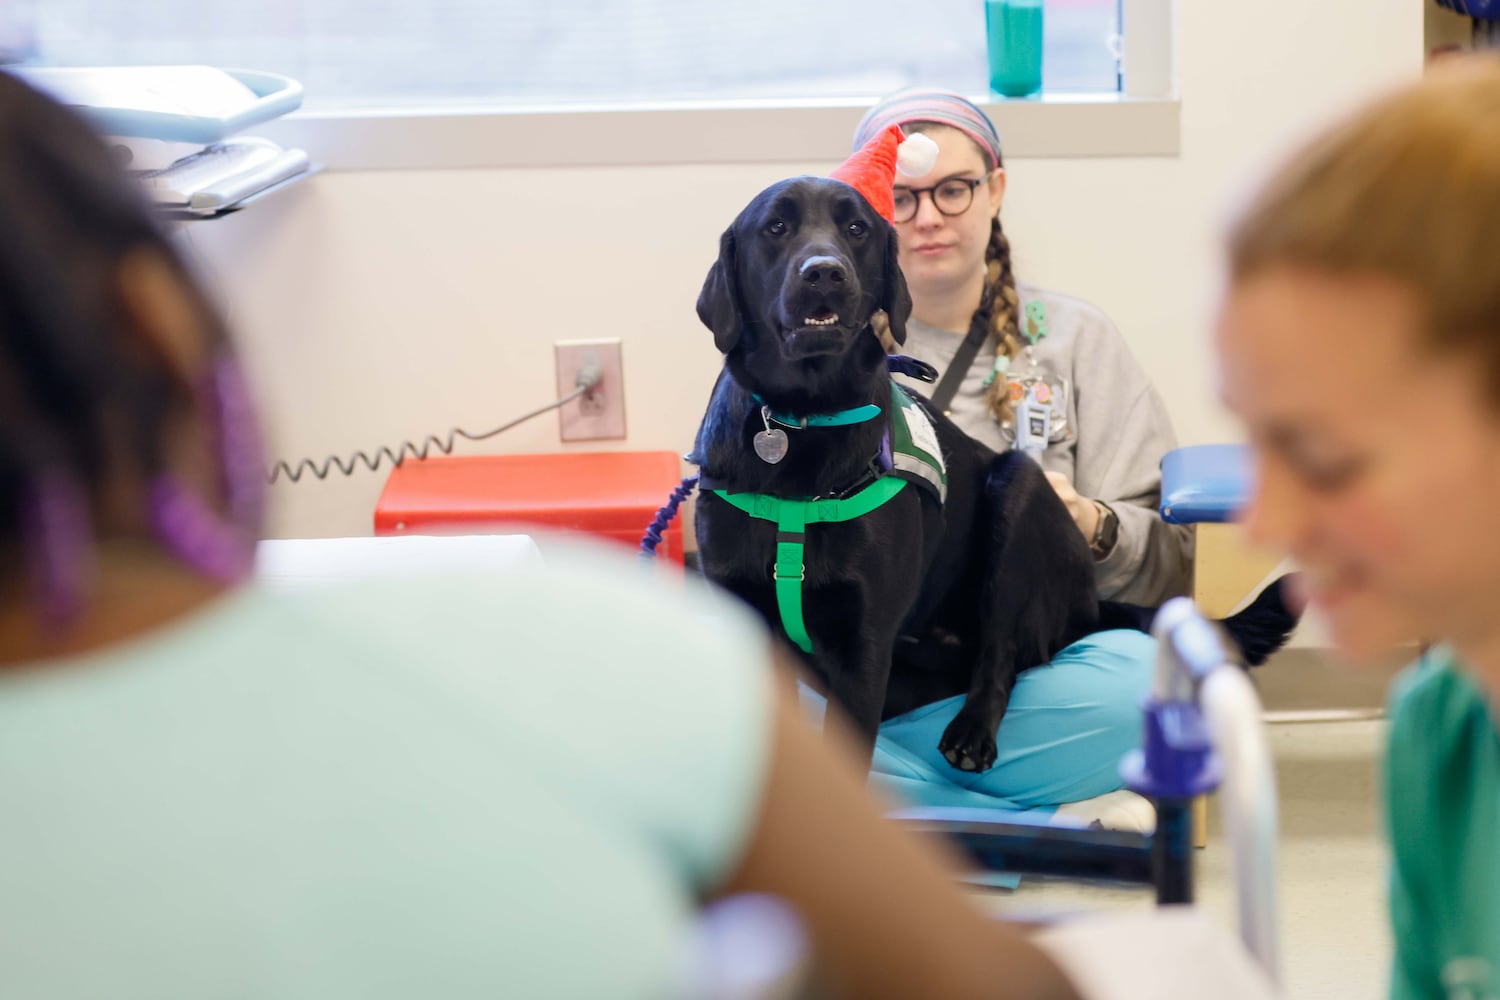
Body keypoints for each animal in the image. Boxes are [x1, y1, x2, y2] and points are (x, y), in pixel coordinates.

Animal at [690, 173, 1290, 773]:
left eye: (856, 228)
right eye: (776, 227)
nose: (824, 272)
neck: (803, 421)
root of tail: (1089, 600)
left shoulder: (862, 649)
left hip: (1019, 495)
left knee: (1003, 656)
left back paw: (973, 730)